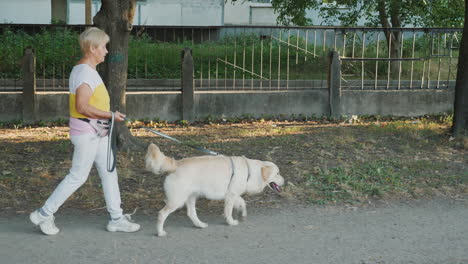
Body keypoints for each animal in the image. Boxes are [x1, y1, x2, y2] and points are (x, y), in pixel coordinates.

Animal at [146, 143, 284, 236]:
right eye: (277, 173)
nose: (285, 181)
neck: (250, 171)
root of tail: (176, 164)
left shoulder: (232, 194)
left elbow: (242, 202)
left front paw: (242, 214)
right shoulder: (231, 196)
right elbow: (228, 211)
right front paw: (231, 221)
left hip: (191, 197)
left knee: (191, 213)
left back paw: (200, 225)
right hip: (177, 200)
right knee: (162, 213)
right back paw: (160, 232)